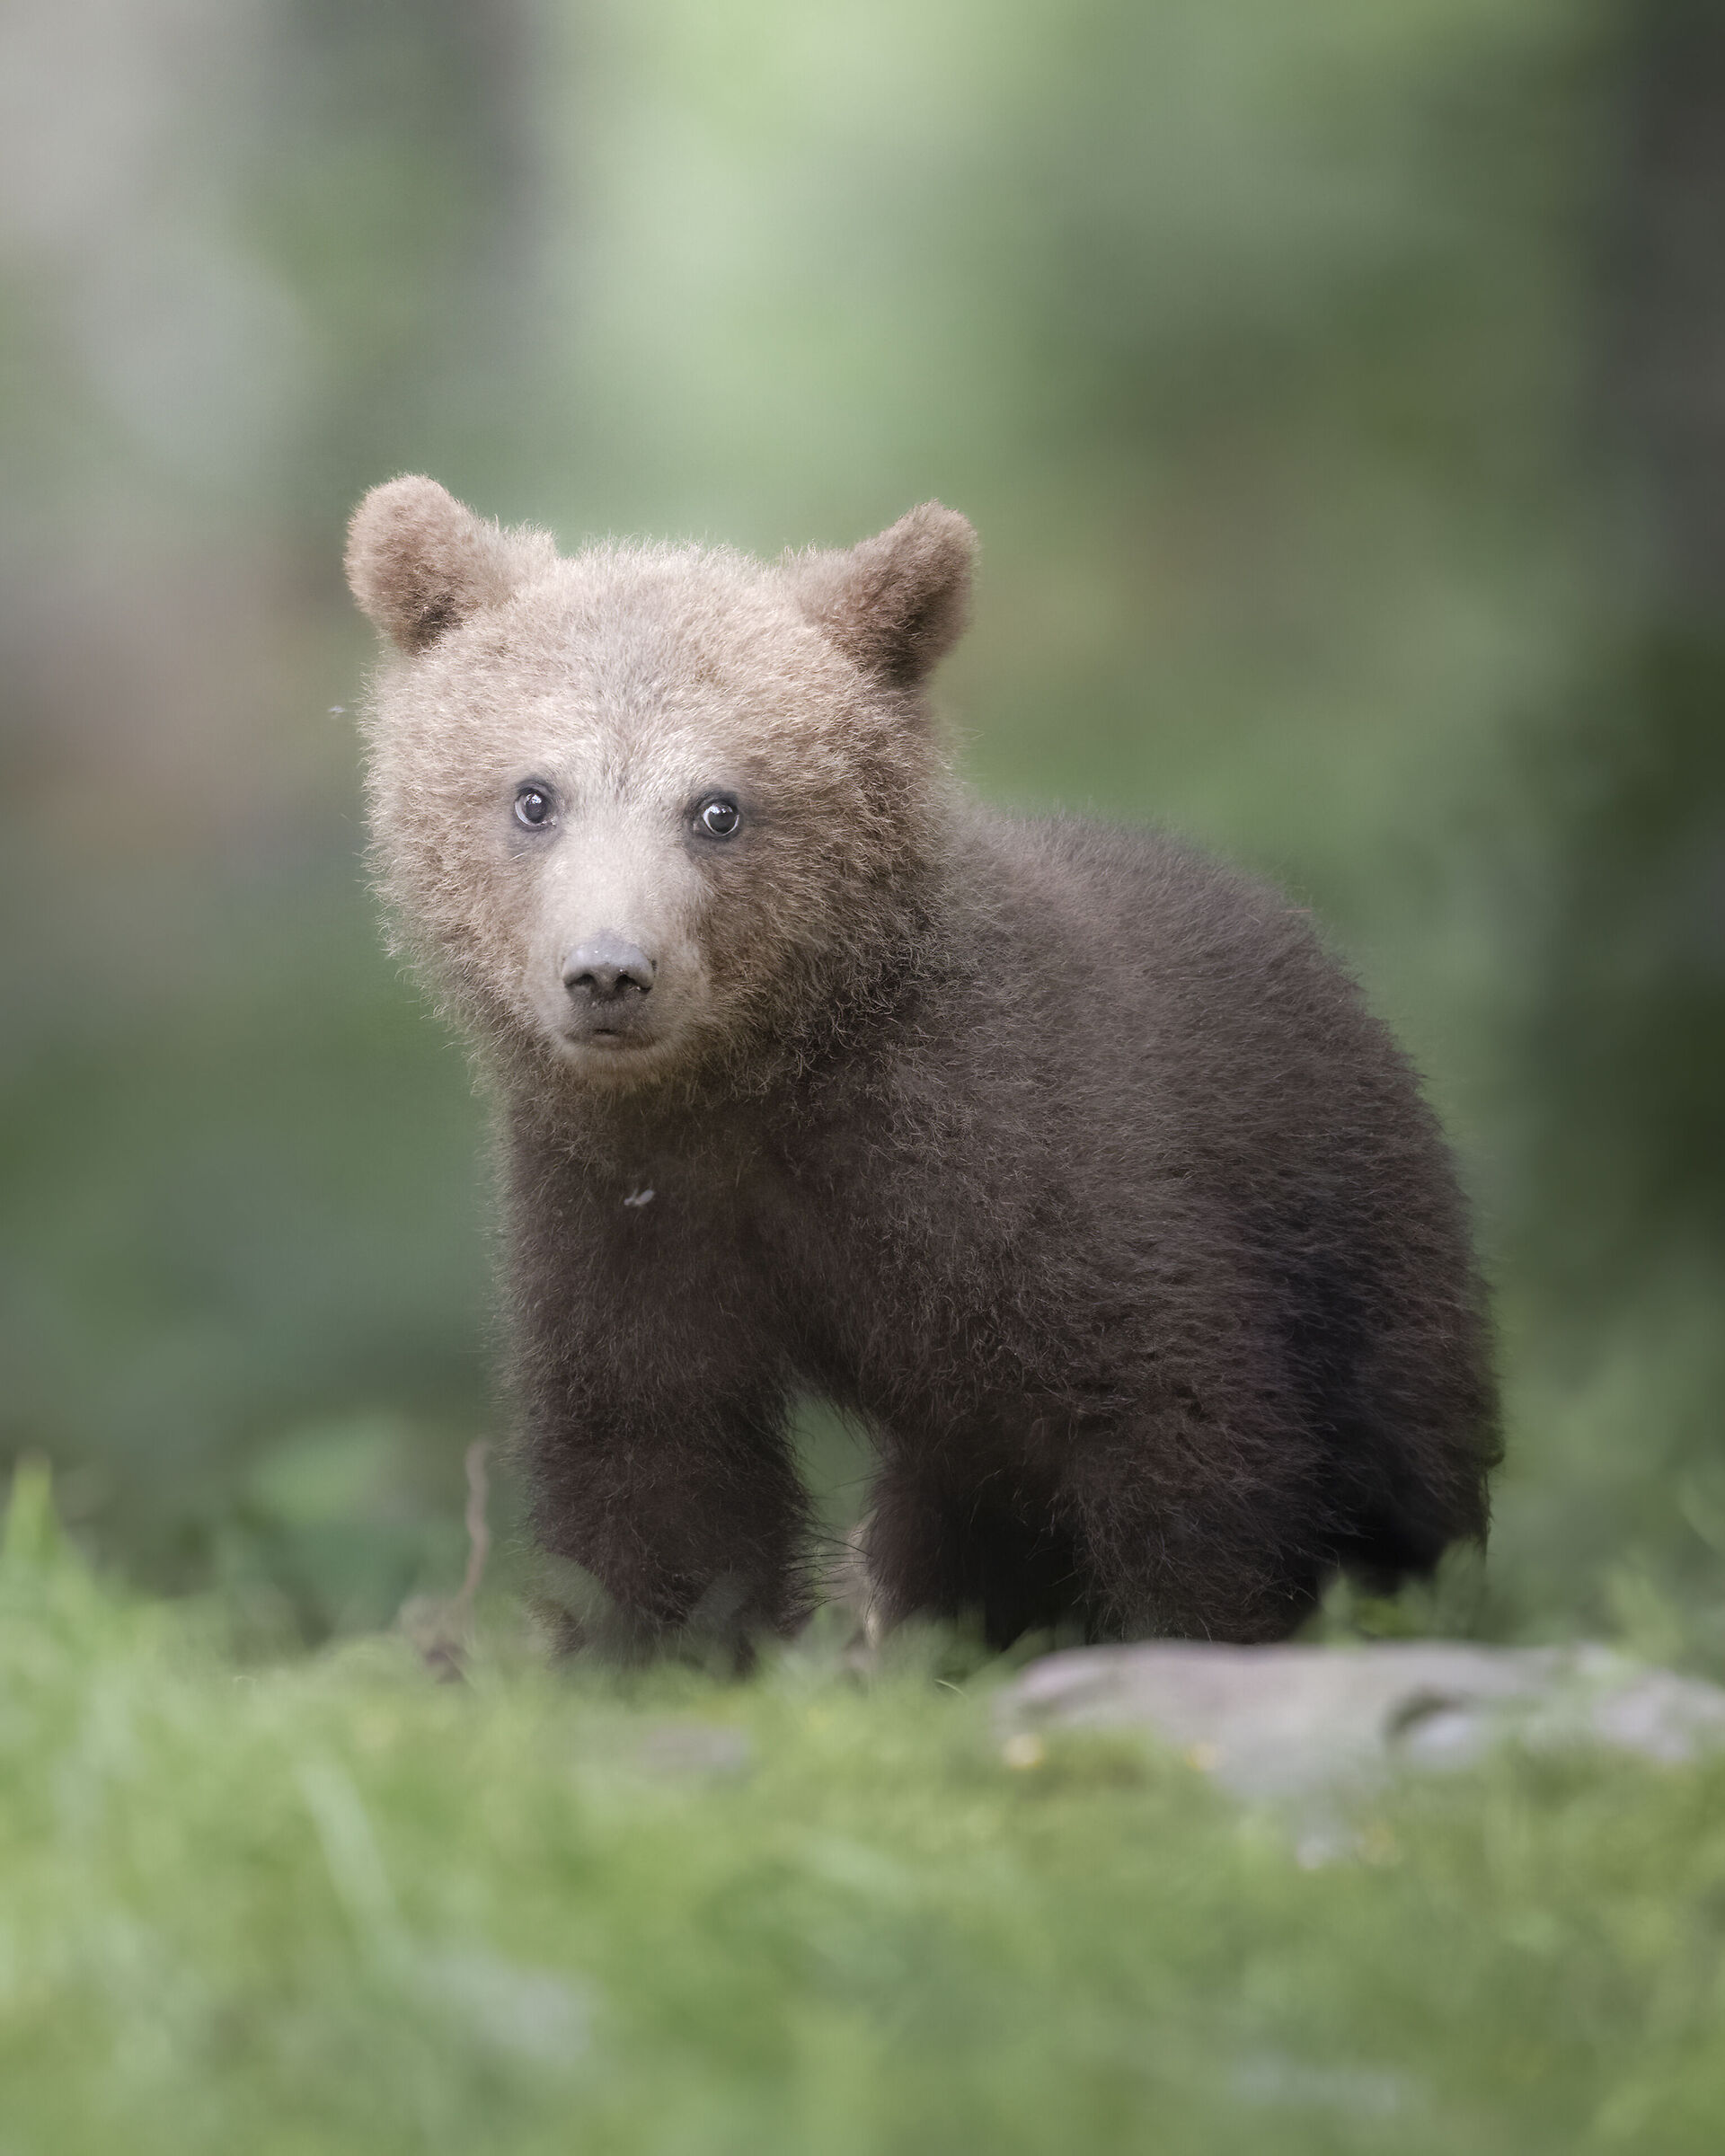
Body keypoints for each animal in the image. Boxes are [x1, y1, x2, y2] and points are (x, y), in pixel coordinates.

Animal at [346, 475, 1500, 1657]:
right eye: (534, 795)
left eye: (719, 807)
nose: (611, 973)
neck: (755, 1086)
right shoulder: (628, 1212)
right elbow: (655, 1456)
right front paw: (660, 1647)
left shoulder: (1027, 1162)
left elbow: (1181, 1420)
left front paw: (1203, 1628)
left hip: (1363, 1251)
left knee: (1402, 1460)